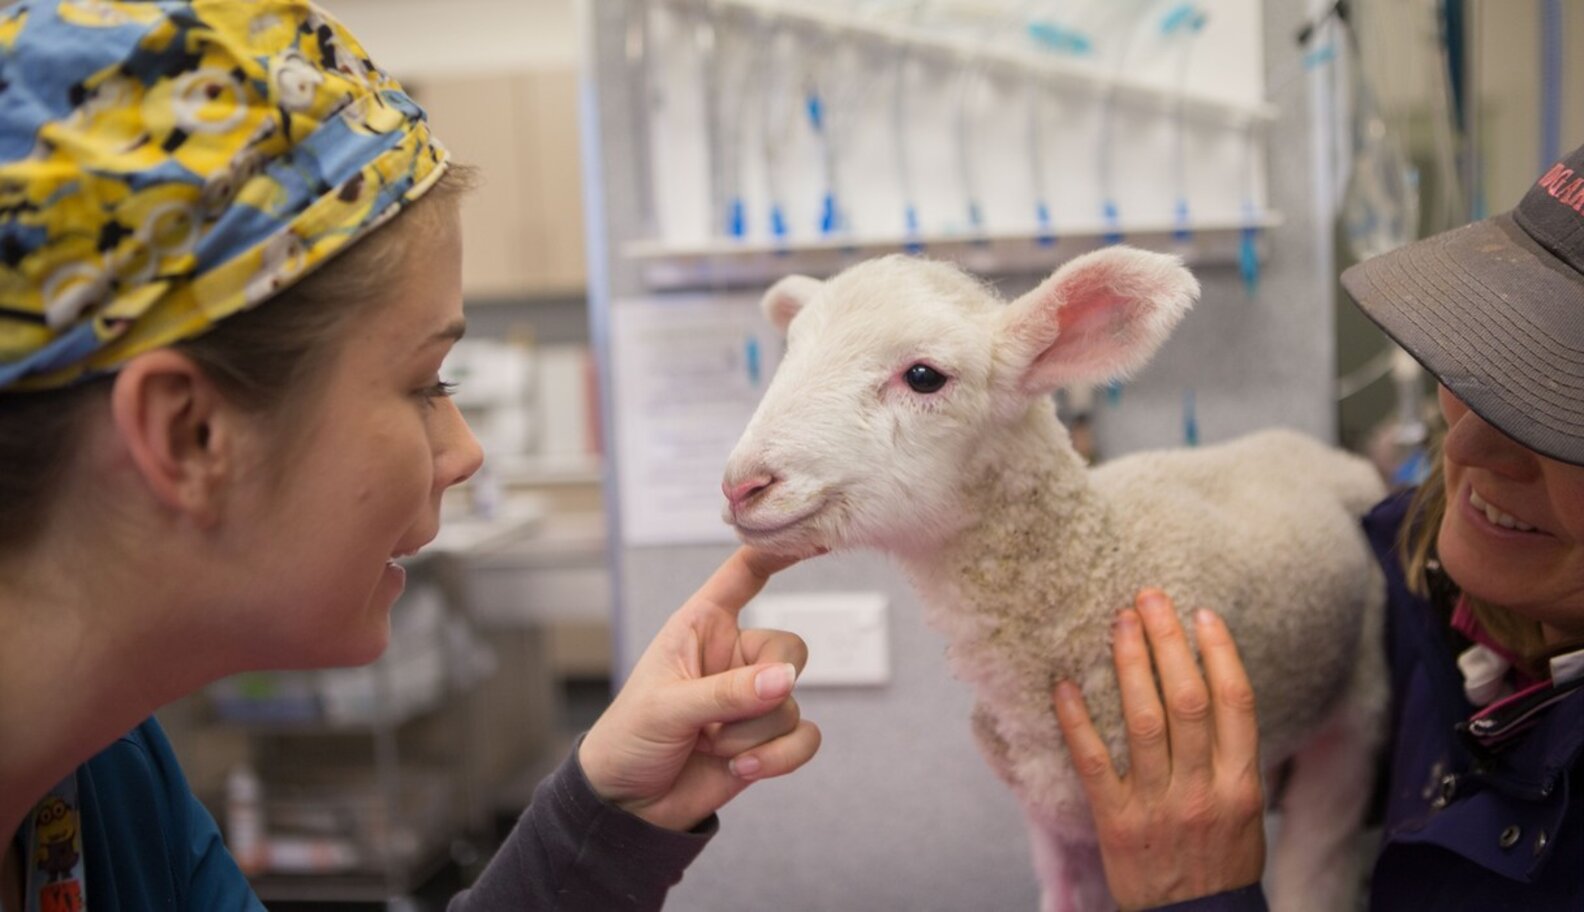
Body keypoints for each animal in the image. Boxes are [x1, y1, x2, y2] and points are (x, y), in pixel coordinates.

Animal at [721, 248, 1388, 912]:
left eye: (924, 377)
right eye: (791, 350)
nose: (741, 485)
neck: (1097, 575)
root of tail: (1318, 451)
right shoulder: (1054, 825)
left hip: (1355, 722)